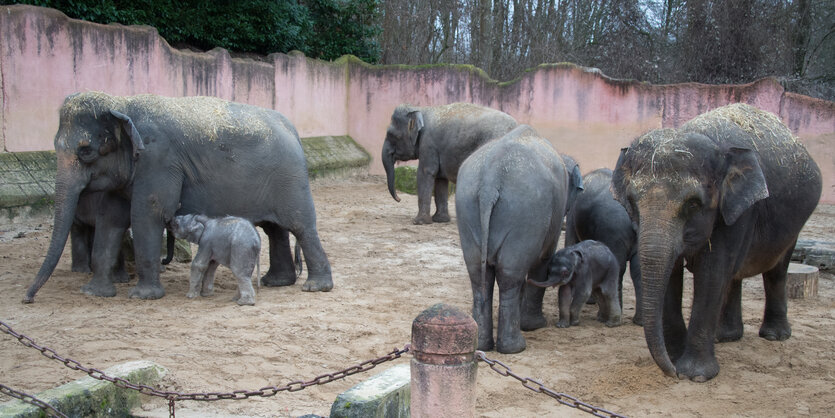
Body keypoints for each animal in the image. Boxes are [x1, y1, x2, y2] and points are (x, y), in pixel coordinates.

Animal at [23, 92, 330, 304]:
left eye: (86, 151)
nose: (28, 299)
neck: (122, 103)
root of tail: (293, 129)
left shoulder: (158, 160)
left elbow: (148, 214)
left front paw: (143, 296)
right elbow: (110, 220)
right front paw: (94, 293)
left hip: (291, 180)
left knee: (301, 226)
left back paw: (315, 287)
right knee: (274, 229)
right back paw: (277, 282)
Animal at [384, 101, 516, 225]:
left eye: (391, 134)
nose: (399, 199)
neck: (421, 109)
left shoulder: (428, 144)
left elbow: (426, 172)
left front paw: (419, 222)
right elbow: (440, 179)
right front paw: (440, 220)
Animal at [458, 124, 576, 352]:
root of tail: (490, 181)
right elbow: (544, 259)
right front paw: (535, 325)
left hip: (467, 207)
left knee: (479, 274)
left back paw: (482, 345)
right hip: (525, 213)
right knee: (510, 275)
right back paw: (515, 347)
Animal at [564, 168, 644, 324]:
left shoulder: (572, 218)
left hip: (613, 228)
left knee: (618, 268)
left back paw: (609, 317)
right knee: (639, 270)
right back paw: (639, 321)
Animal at [612, 103, 824, 382]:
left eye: (693, 204)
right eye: (632, 202)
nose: (672, 373)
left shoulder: (739, 210)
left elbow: (711, 273)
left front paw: (695, 375)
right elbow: (672, 273)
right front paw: (675, 357)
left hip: (795, 222)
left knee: (776, 270)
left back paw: (773, 336)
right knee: (734, 275)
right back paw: (726, 337)